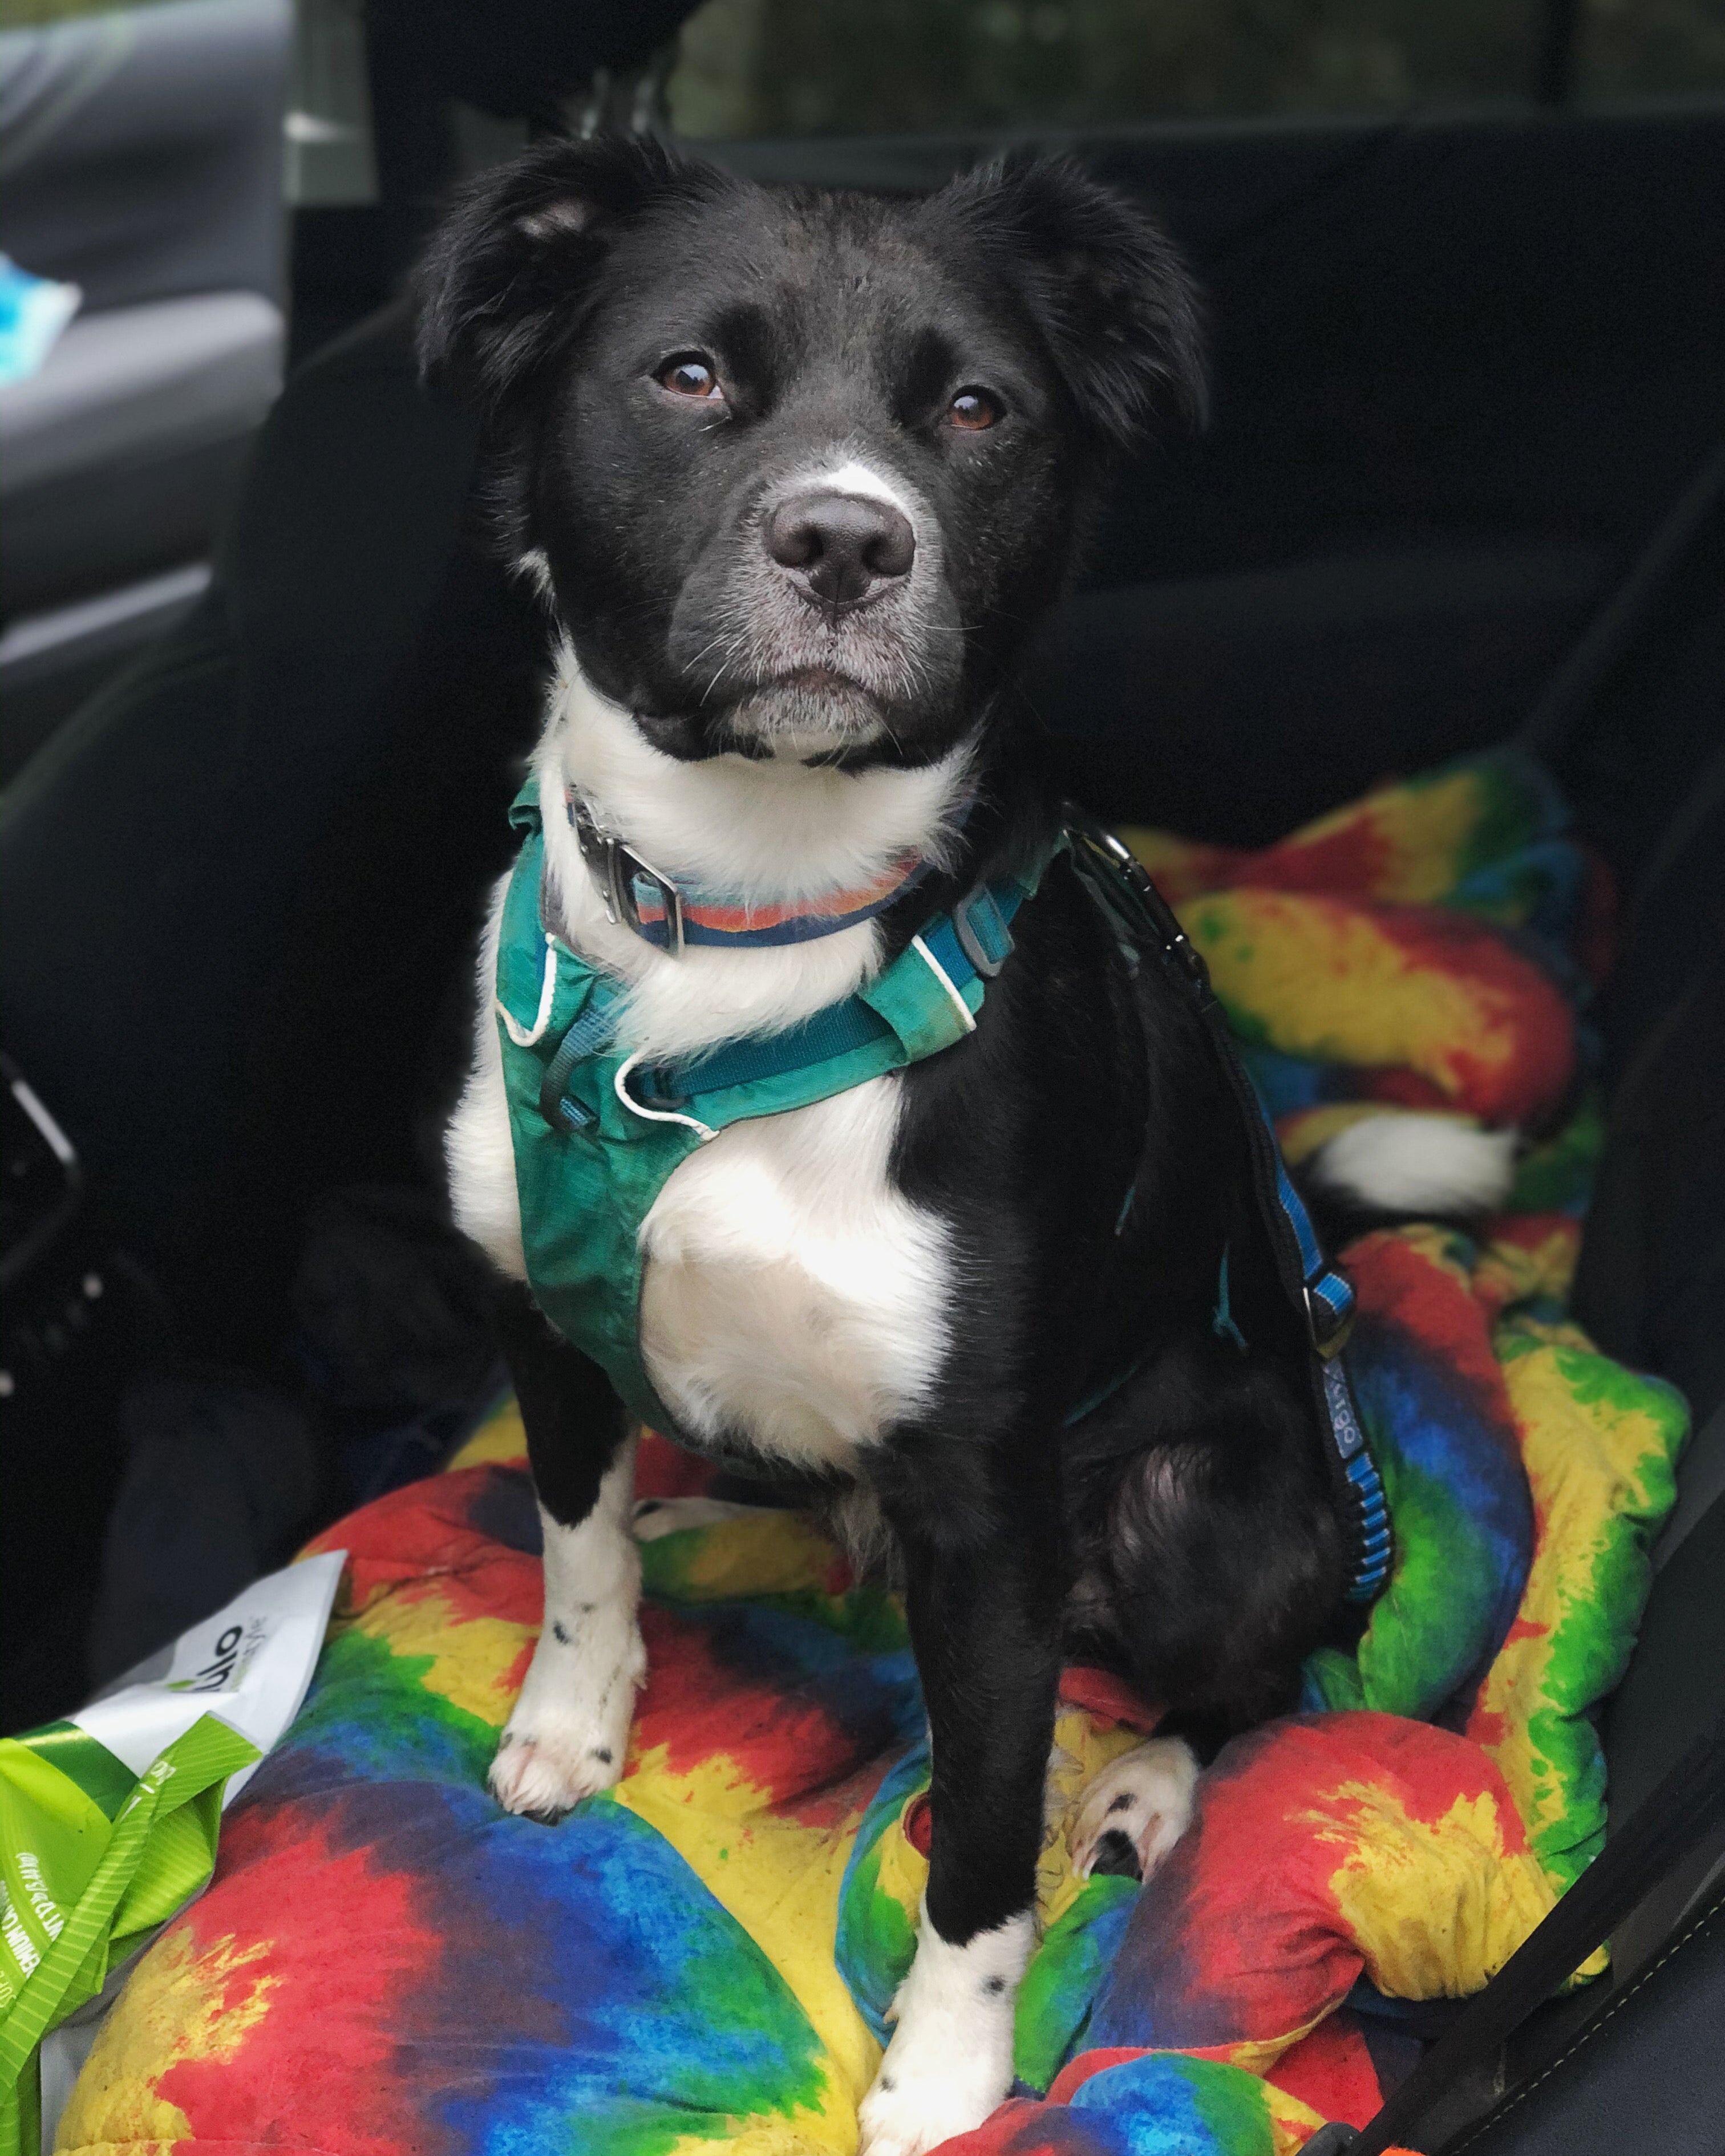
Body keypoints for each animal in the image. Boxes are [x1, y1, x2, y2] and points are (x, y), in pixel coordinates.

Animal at [420, 143, 1509, 2147]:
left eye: (978, 411)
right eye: (690, 377)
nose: (849, 543)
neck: (736, 941)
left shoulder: (995, 1525)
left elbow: (986, 1840)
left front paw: (945, 2073)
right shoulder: (542, 1323)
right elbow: (574, 1544)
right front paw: (573, 1717)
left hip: (1209, 1508)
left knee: (1258, 1674)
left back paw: (1152, 1787)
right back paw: (723, 1526)